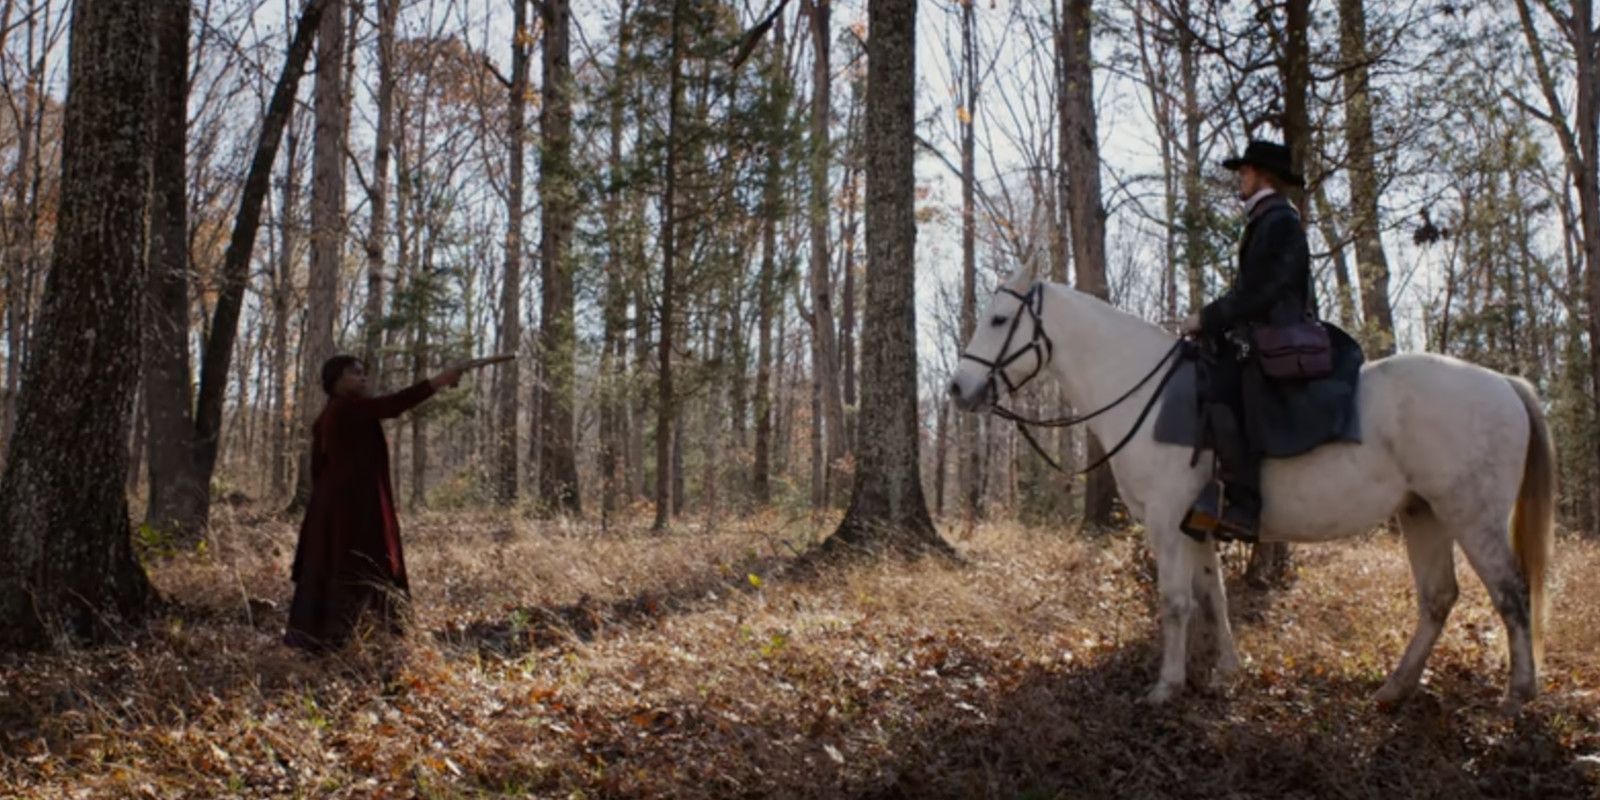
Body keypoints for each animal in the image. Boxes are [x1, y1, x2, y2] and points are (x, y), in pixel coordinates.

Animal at [947, 268, 1548, 707]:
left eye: (998, 319)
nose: (958, 388)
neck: (1144, 391)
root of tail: (1504, 383)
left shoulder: (1166, 521)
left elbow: (1175, 602)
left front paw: (1166, 688)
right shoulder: (1197, 523)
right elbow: (1213, 597)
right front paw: (1225, 673)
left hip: (1471, 516)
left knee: (1511, 593)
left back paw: (1517, 696)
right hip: (1423, 514)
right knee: (1438, 598)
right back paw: (1393, 691)